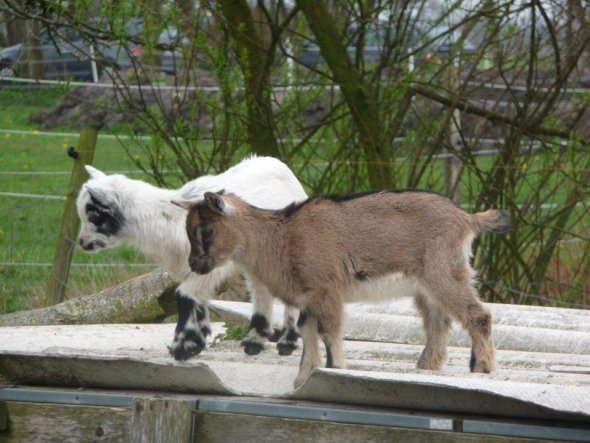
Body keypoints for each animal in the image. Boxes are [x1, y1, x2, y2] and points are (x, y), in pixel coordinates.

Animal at [77, 158, 310, 360]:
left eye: (94, 216)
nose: (82, 243)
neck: (167, 217)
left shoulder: (211, 265)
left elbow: (184, 296)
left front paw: (182, 347)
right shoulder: (187, 267)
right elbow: (198, 300)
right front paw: (197, 341)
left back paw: (286, 342)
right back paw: (260, 342)